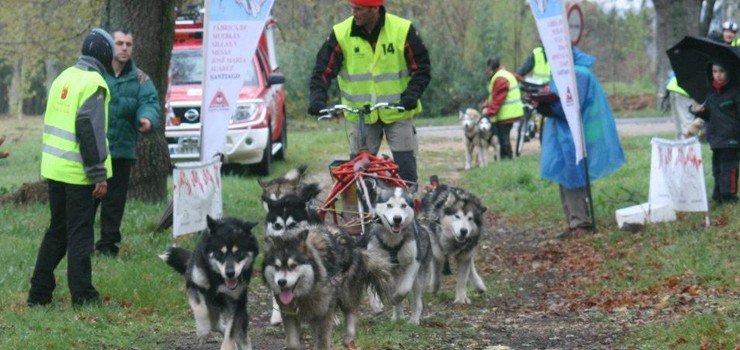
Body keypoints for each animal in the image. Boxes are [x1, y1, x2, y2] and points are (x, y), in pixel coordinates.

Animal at [158, 216, 258, 350]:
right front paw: (202, 331)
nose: (230, 273)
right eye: (220, 253)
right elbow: (200, 310)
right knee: (215, 324)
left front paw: (227, 346)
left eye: (239, 253)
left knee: (239, 332)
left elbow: (231, 331)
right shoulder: (194, 286)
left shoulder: (235, 302)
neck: (217, 278)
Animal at [264, 224, 396, 350]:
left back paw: (349, 337)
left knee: (351, 311)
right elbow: (293, 343)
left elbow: (322, 342)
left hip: (346, 293)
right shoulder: (289, 314)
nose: (281, 282)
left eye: (293, 265)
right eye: (276, 266)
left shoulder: (324, 312)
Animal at [366, 185, 430, 324]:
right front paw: (379, 304)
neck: (392, 240)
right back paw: (397, 316)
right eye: (389, 205)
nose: (397, 219)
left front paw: (396, 298)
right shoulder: (376, 264)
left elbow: (403, 289)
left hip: (418, 278)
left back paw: (414, 320)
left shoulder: (414, 263)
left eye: (403, 205)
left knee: (417, 300)